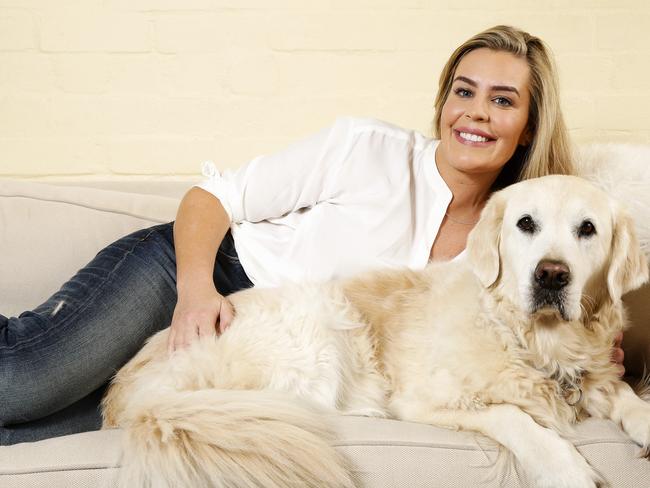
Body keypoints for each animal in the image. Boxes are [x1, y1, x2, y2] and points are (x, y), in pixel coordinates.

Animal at [101, 175, 648, 488]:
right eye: (526, 223)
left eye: (587, 229)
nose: (551, 276)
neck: (530, 341)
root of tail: (136, 394)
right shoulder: (423, 402)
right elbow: (513, 416)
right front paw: (563, 466)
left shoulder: (594, 376)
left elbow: (626, 396)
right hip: (320, 326)